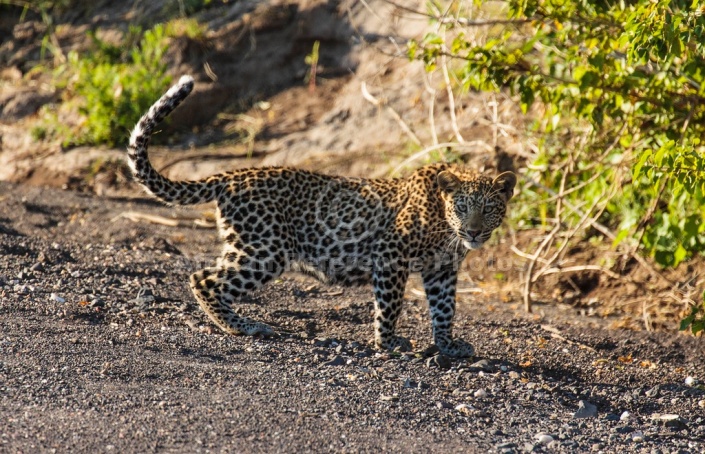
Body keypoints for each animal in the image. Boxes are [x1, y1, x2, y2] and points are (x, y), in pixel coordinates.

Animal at [126, 75, 516, 358]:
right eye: (462, 207)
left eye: (489, 208)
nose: (473, 232)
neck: (444, 223)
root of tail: (230, 176)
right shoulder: (391, 255)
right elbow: (389, 305)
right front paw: (388, 343)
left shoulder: (442, 269)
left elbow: (444, 309)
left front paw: (448, 345)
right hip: (265, 251)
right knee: (203, 279)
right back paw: (242, 326)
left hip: (249, 246)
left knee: (207, 276)